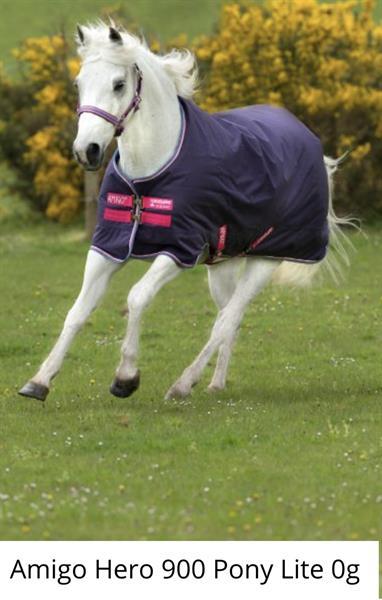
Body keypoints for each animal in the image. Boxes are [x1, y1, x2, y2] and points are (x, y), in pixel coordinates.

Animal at [19, 25, 350, 406]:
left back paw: (182, 384)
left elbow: (136, 298)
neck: (149, 173)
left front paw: (126, 378)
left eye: (119, 84)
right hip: (221, 265)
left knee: (228, 318)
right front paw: (39, 381)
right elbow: (77, 311)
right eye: (78, 83)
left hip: (266, 260)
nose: (86, 151)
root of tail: (310, 141)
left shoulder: (178, 250)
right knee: (228, 318)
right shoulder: (108, 247)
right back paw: (214, 384)